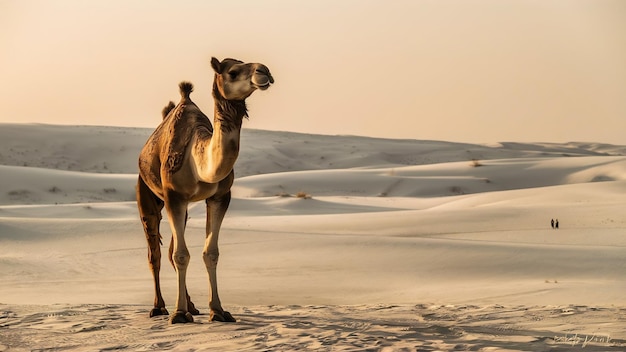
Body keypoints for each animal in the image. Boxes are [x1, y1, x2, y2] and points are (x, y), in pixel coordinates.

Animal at [136, 56, 272, 324]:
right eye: (233, 72)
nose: (265, 71)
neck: (196, 159)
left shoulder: (220, 196)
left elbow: (210, 253)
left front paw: (217, 310)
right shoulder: (174, 196)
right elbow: (180, 254)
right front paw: (178, 314)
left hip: (185, 208)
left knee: (170, 250)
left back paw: (191, 306)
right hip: (146, 193)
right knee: (155, 254)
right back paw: (159, 307)